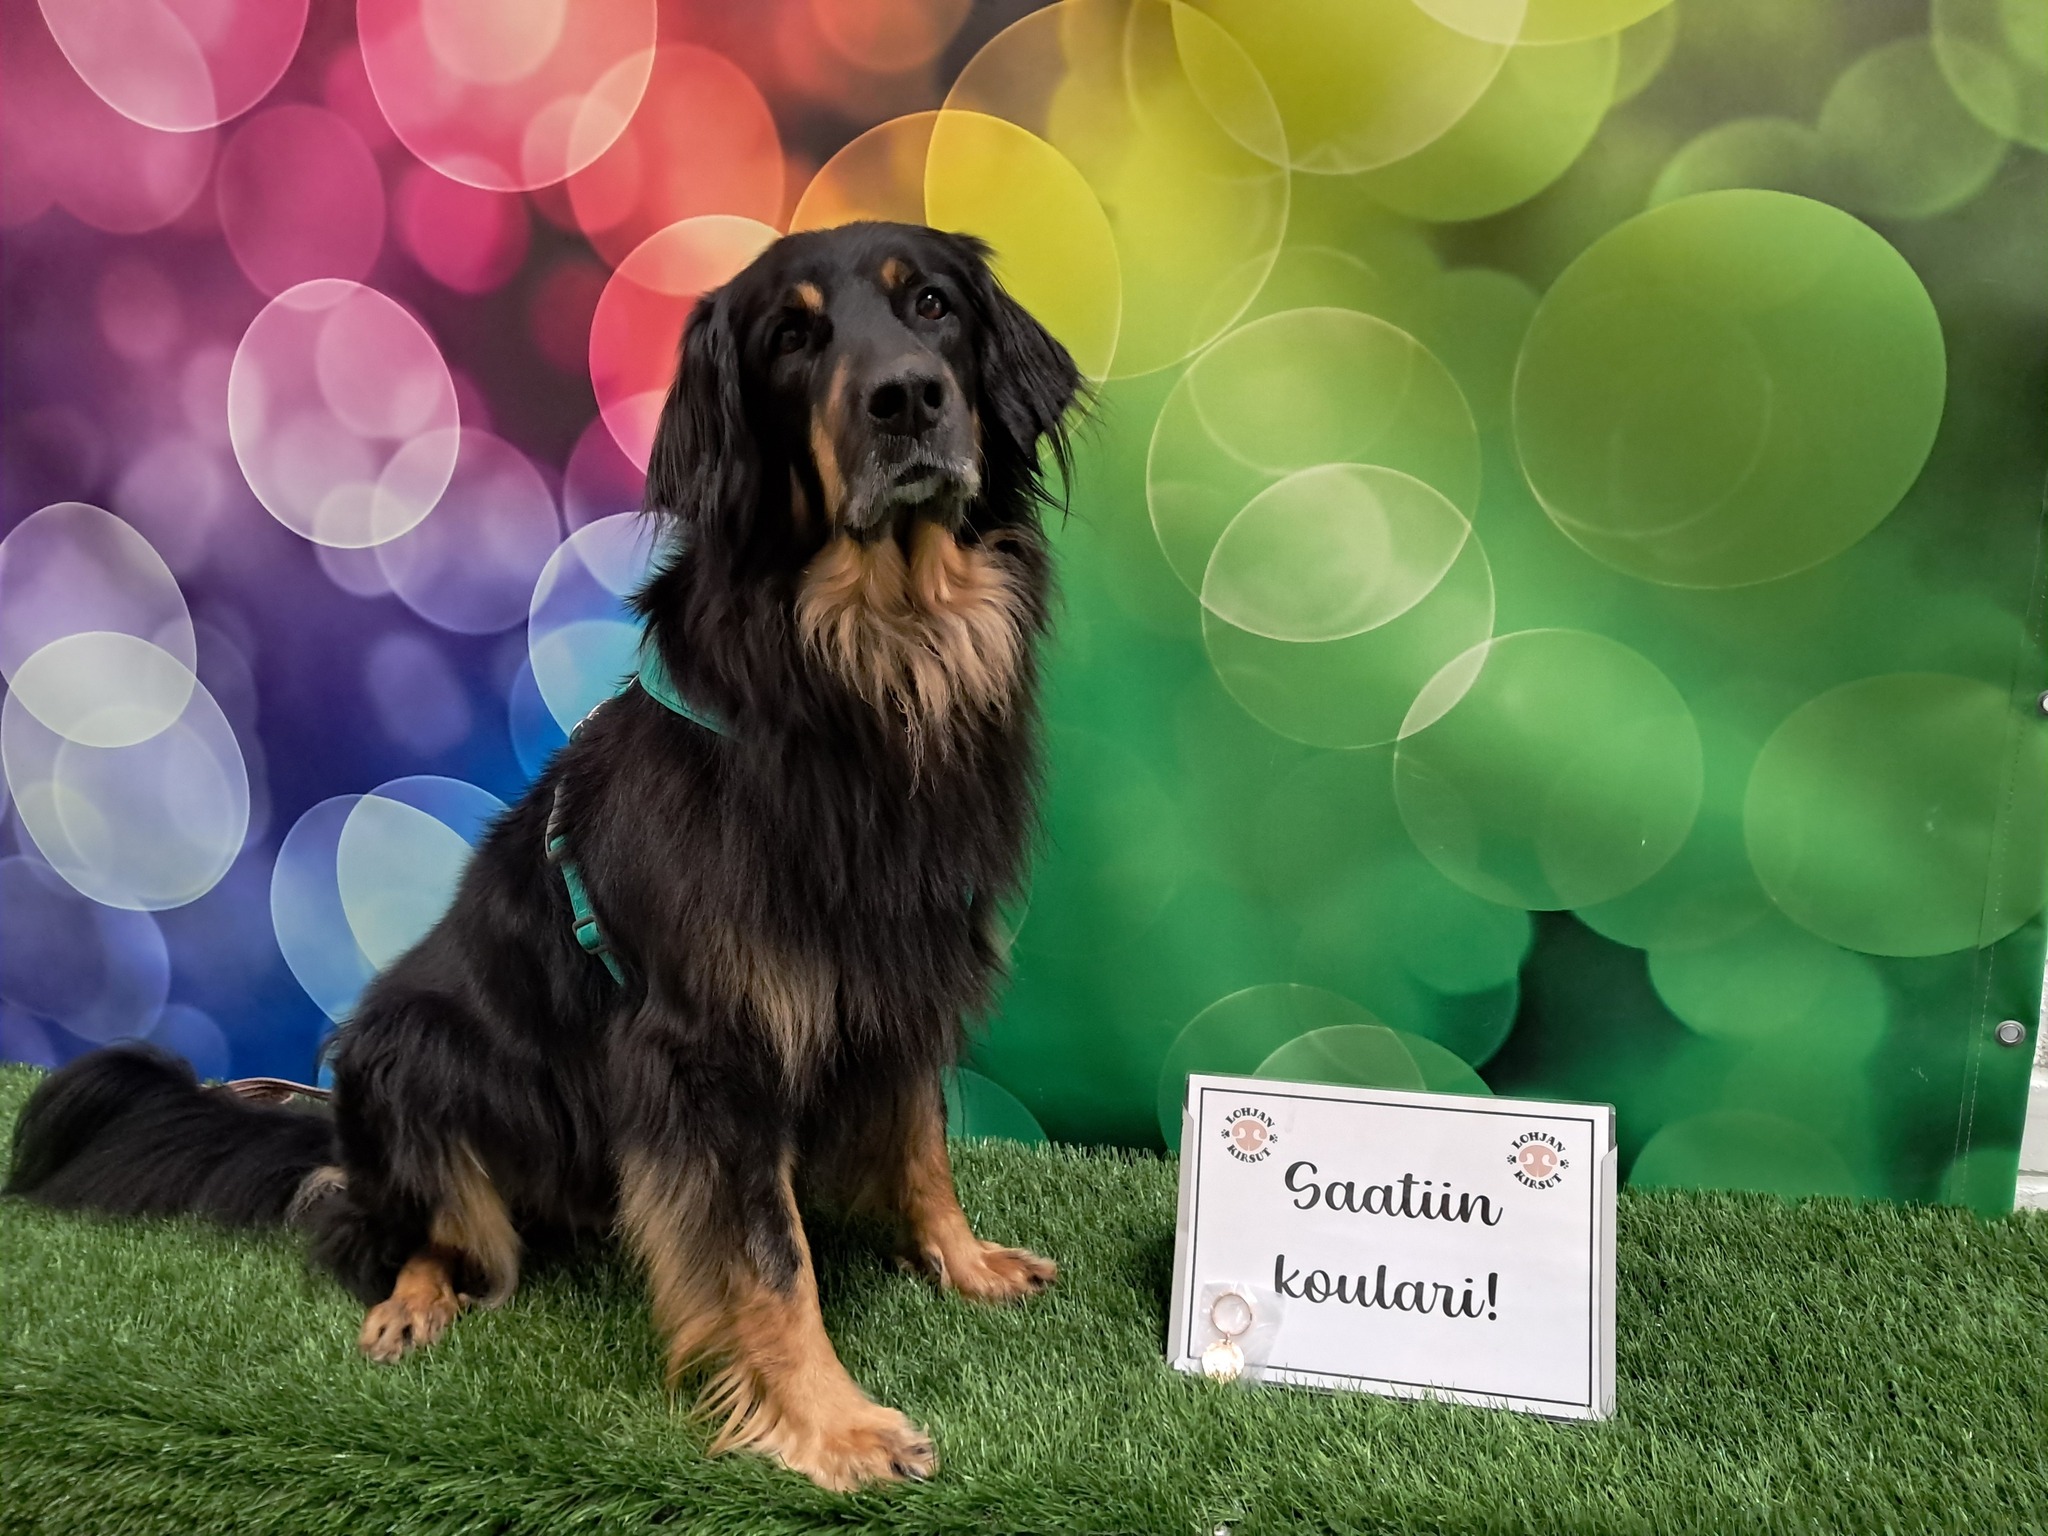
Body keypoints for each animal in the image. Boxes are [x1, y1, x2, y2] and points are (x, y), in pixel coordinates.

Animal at [5, 220, 1084, 1491]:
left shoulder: (902, 961)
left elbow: (920, 1144)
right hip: (405, 1050)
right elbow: (769, 1255)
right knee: (388, 1227)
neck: (866, 664)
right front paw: (829, 1422)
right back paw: (413, 1300)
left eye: (932, 306)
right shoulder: (704, 1048)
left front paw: (962, 1261)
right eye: (791, 337)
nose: (907, 399)